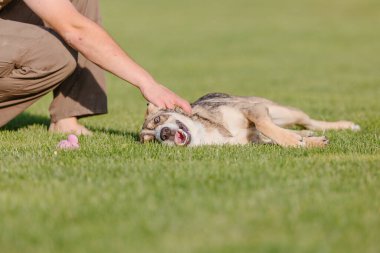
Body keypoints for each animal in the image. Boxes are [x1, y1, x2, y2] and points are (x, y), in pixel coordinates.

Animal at [140, 93, 360, 148]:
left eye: (158, 120)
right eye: (150, 141)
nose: (163, 134)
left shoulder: (252, 109)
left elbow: (264, 125)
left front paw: (292, 142)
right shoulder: (256, 141)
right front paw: (312, 142)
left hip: (282, 111)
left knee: (309, 121)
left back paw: (348, 125)